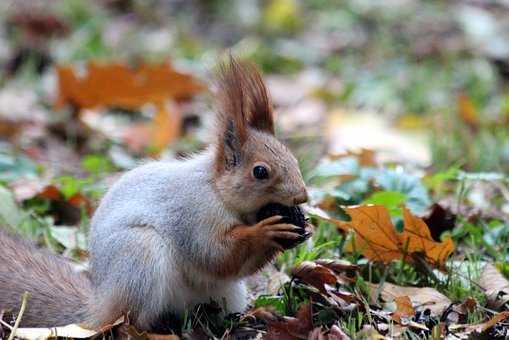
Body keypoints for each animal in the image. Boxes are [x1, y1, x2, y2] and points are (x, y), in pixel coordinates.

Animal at [0, 57, 310, 330]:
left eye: (293, 158)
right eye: (260, 171)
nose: (302, 197)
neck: (217, 192)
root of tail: (99, 307)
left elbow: (234, 265)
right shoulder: (194, 215)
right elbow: (215, 254)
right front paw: (266, 231)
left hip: (226, 293)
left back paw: (247, 317)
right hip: (139, 258)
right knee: (131, 319)